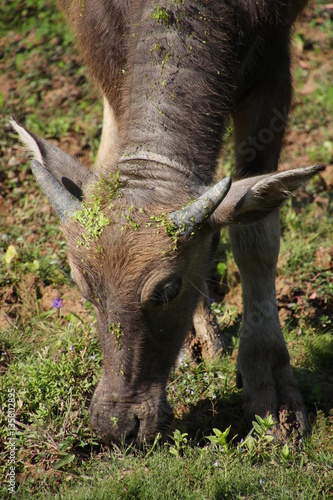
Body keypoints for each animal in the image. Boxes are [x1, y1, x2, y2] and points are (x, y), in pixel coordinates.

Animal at [11, 0, 322, 442]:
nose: (117, 425)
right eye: (83, 287)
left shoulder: (272, 64)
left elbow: (256, 241)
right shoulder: (100, 38)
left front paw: (271, 389)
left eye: (169, 289)